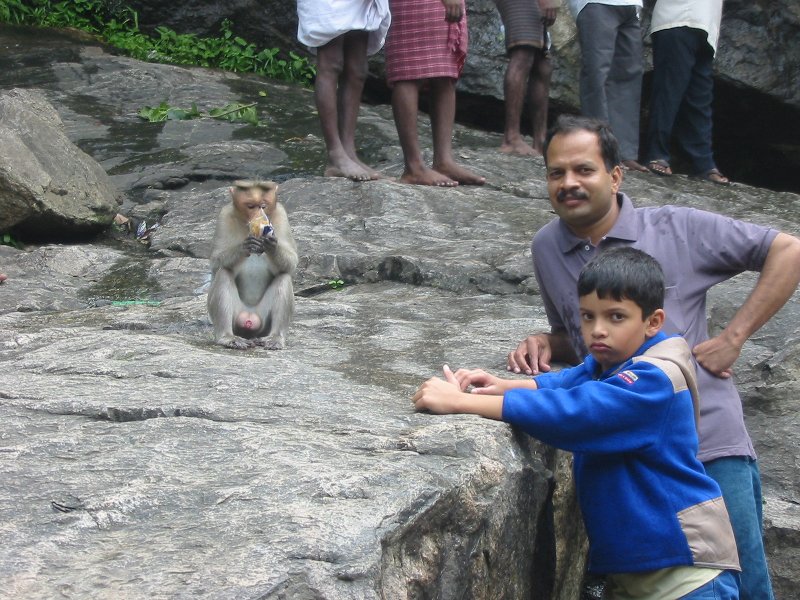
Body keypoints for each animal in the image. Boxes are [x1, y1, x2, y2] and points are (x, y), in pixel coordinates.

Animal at [207, 180, 298, 350]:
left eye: (263, 205)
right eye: (250, 206)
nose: (259, 215)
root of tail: (250, 317)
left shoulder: (281, 214)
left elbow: (292, 262)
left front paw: (271, 245)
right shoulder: (224, 215)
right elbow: (215, 261)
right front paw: (245, 246)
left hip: (263, 322)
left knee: (283, 277)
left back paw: (275, 337)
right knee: (223, 273)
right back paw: (227, 337)